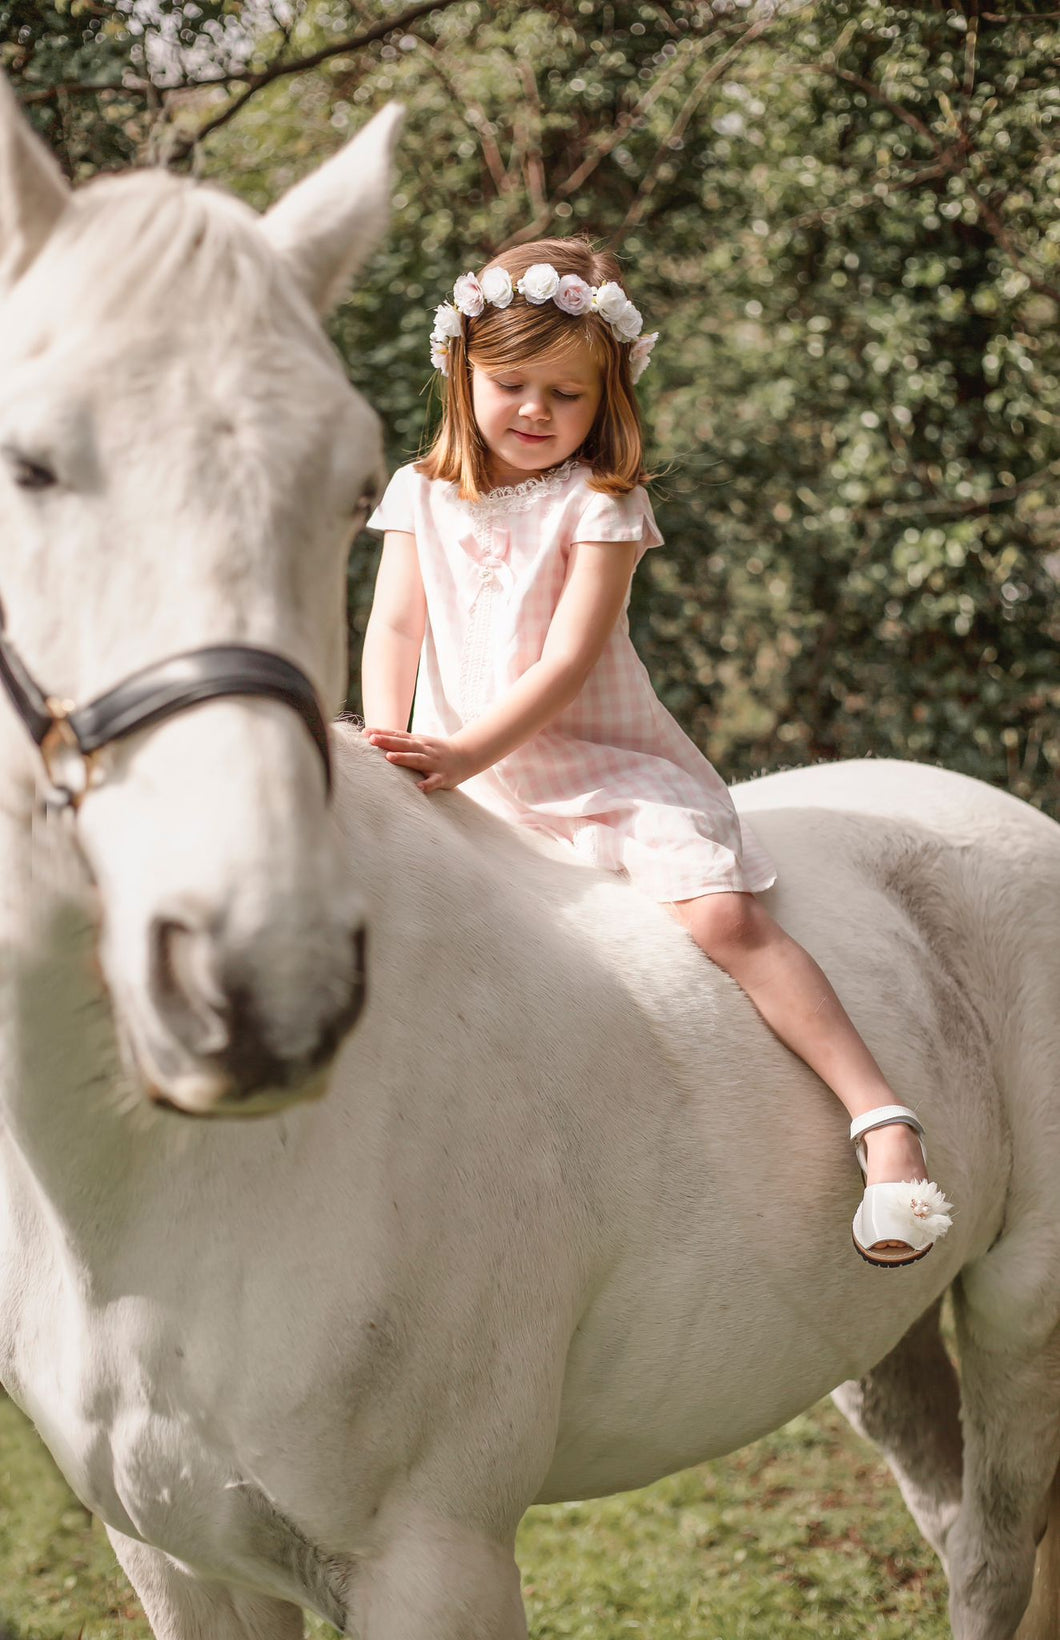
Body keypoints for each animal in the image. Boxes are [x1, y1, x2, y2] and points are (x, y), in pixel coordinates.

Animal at [2, 73, 1060, 1640]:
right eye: (30, 460)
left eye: (338, 482)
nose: (261, 981)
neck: (154, 1181)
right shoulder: (173, 1564)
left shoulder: (432, 1558)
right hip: (879, 1346)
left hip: (1017, 1311)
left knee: (993, 1550)